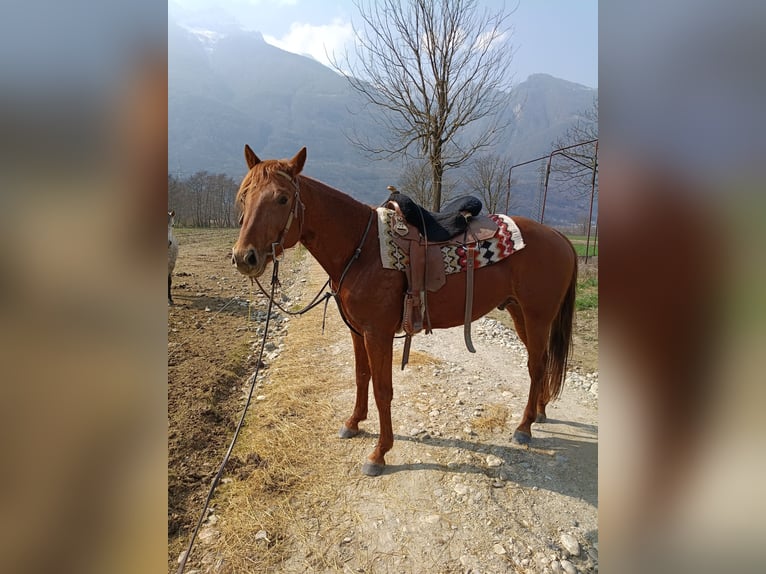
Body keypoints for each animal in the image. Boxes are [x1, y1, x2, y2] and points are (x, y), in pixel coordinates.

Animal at [232, 146, 578, 476]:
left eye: (282, 198)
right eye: (243, 196)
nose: (244, 257)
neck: (363, 249)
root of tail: (558, 236)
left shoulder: (378, 334)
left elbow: (382, 390)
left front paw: (380, 453)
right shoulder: (357, 330)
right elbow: (361, 376)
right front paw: (353, 423)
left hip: (537, 317)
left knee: (536, 365)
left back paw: (524, 426)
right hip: (520, 314)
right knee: (542, 362)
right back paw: (540, 411)